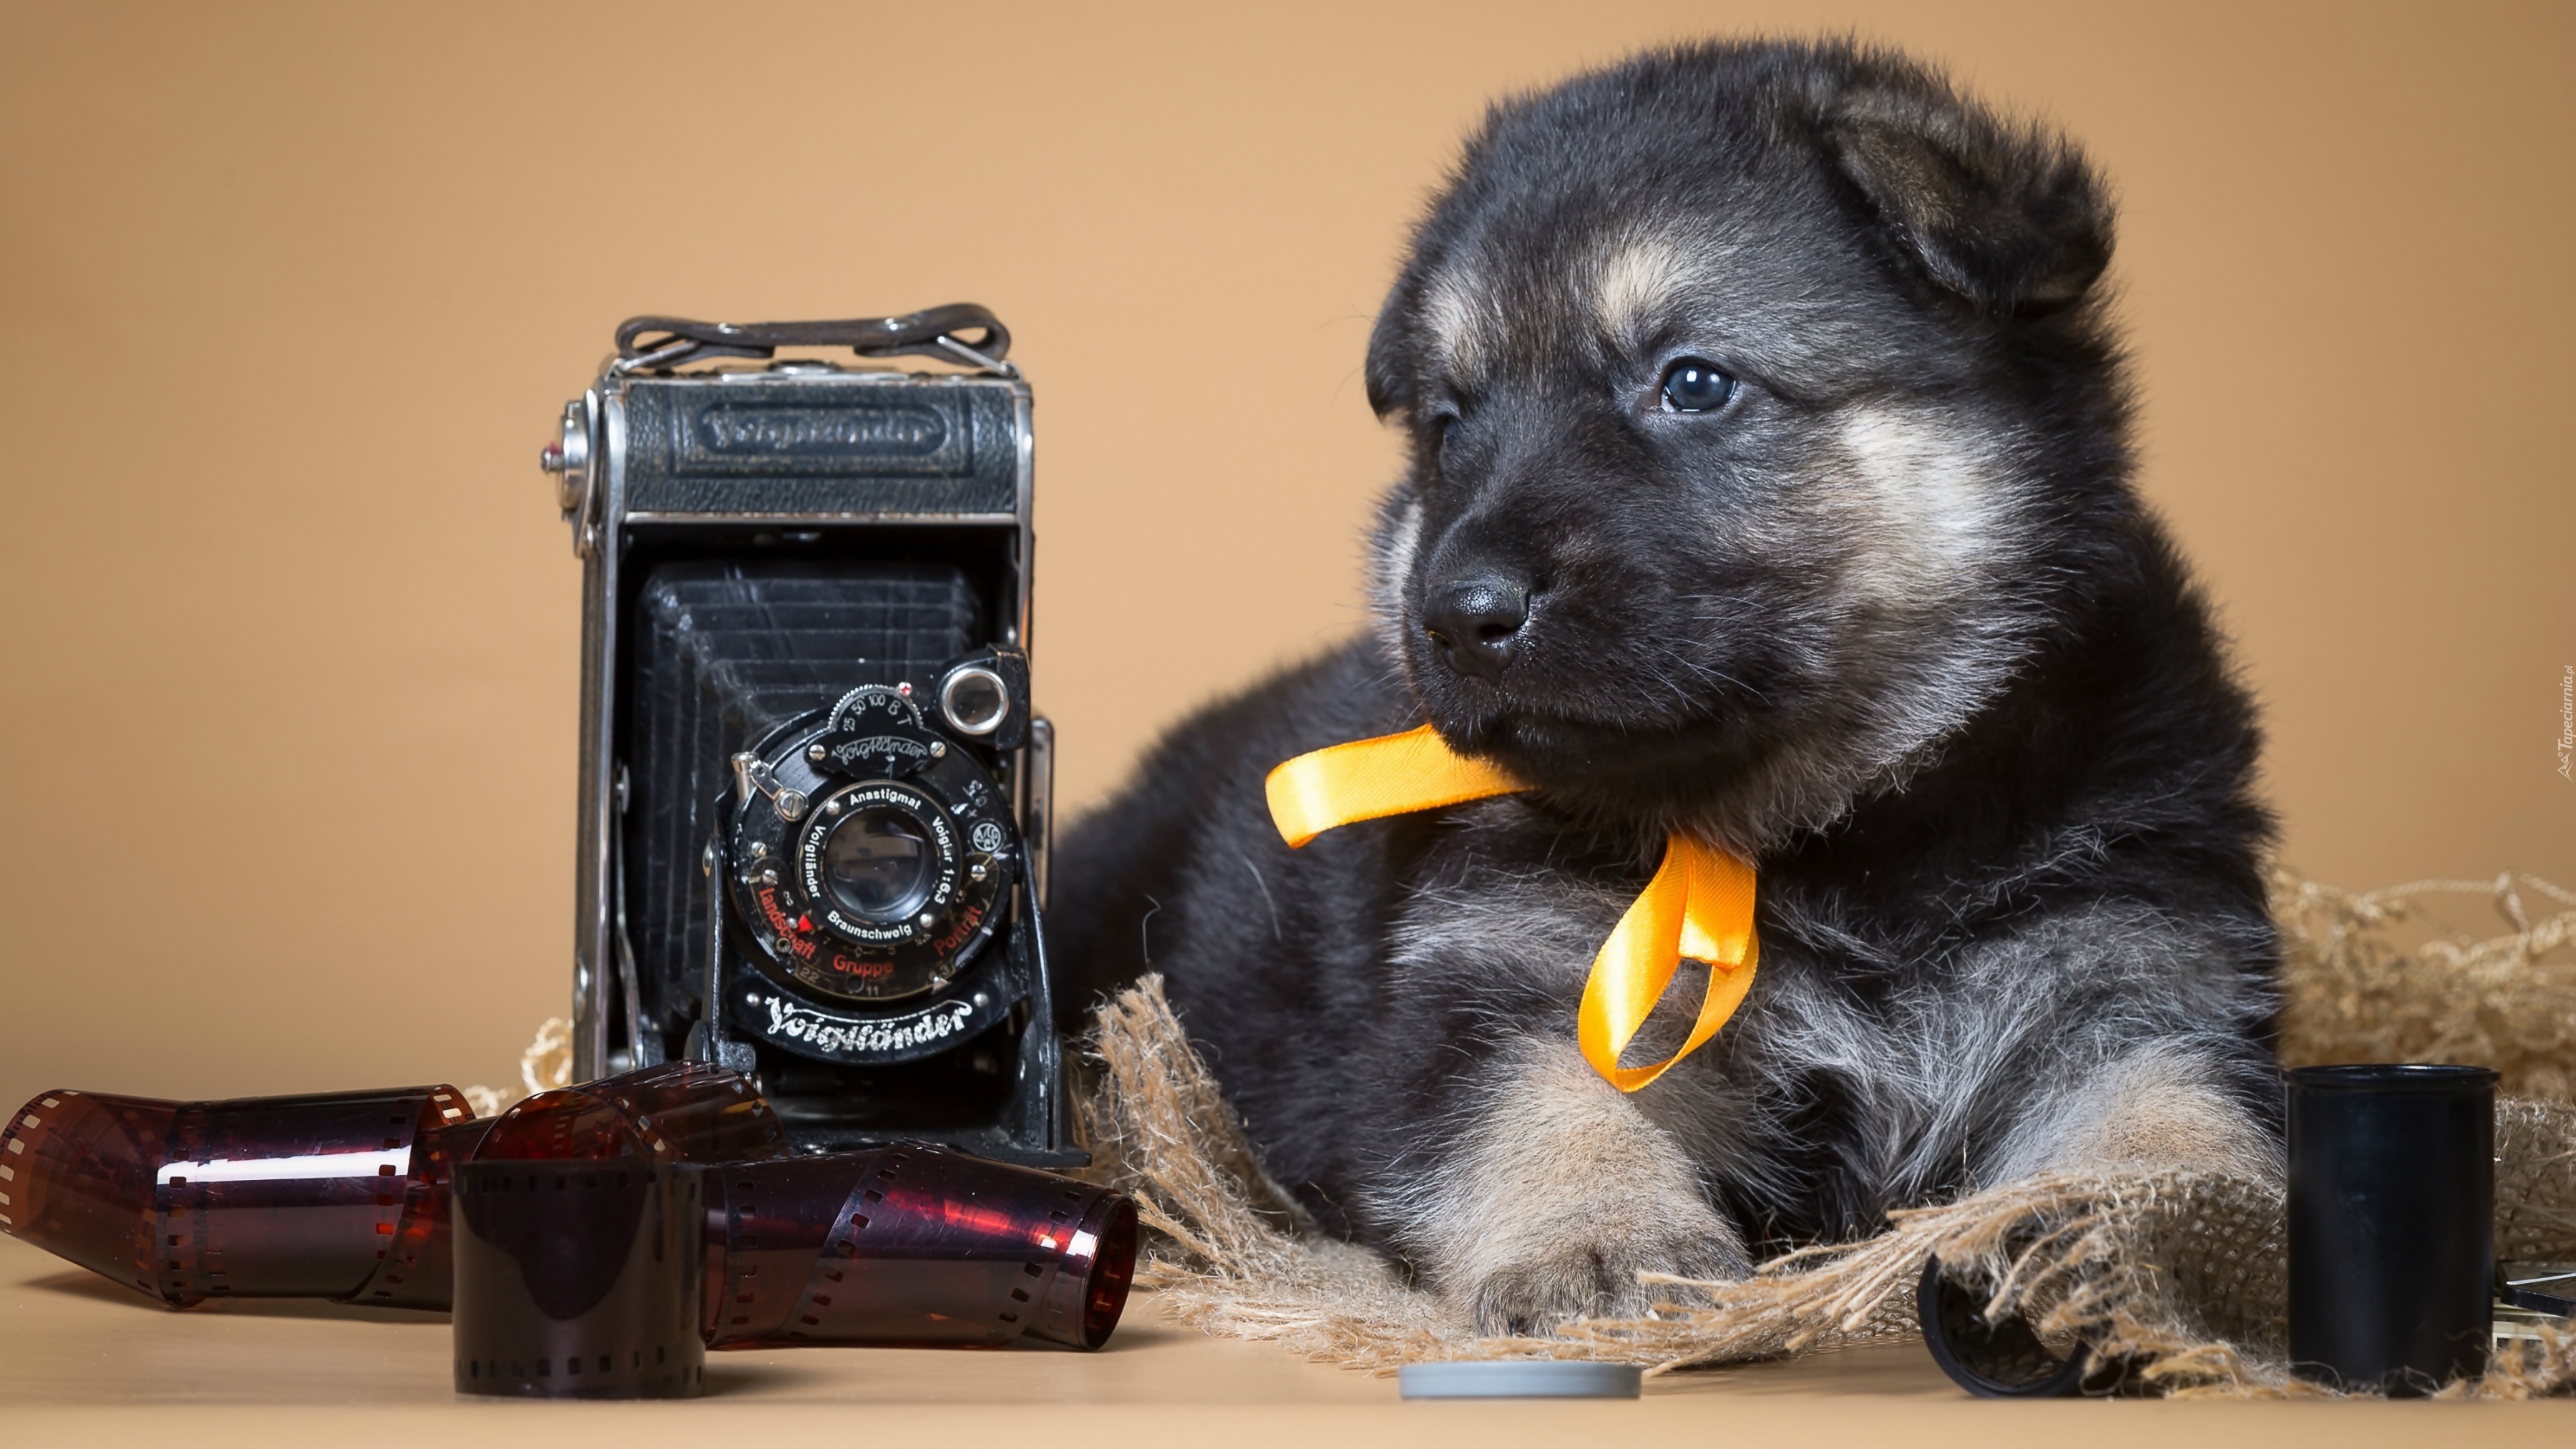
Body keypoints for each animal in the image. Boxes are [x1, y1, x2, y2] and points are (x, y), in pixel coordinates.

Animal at [1045, 36, 2277, 1330]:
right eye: (1448, 425)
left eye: (1693, 383)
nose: (1458, 612)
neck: (1834, 840)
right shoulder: (1495, 978)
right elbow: (1538, 1105)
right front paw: (1599, 1237)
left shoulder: (2137, 972)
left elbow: (2171, 1113)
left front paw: (2167, 1234)